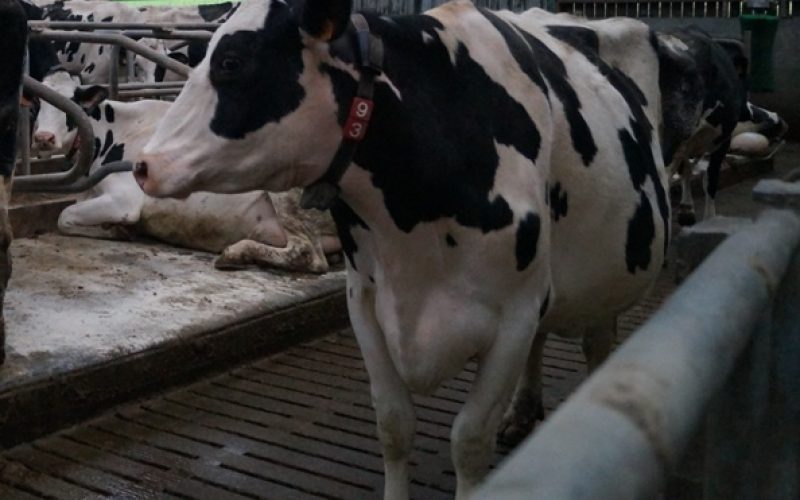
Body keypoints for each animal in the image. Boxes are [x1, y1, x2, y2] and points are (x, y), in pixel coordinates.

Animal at [39, 85, 338, 274]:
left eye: (70, 103)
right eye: (37, 105)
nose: (42, 137)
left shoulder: (125, 199)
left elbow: (64, 216)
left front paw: (115, 231)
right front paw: (113, 229)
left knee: (309, 255)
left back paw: (234, 253)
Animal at [133, 0, 676, 496]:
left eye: (231, 62)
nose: (142, 165)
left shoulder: (515, 314)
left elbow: (468, 440)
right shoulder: (366, 301)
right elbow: (394, 425)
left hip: (609, 277)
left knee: (596, 344)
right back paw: (521, 414)